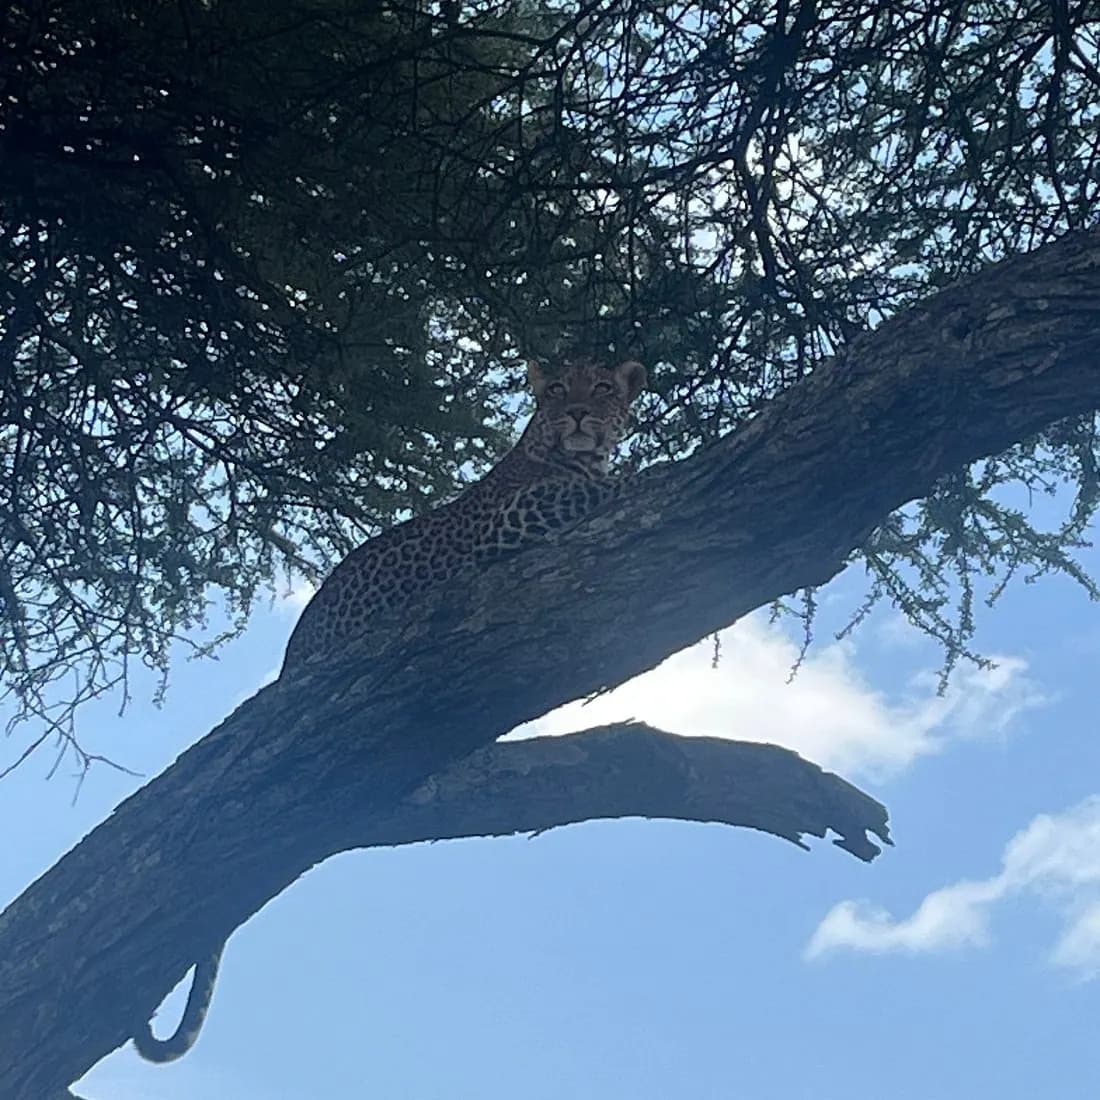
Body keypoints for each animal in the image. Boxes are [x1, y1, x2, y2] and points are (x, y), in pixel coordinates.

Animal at [132, 357, 646, 1066]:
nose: (575, 414)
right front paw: (644, 469)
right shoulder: (515, 516)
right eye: (553, 392)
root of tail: (291, 667)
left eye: (599, 389)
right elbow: (592, 491)